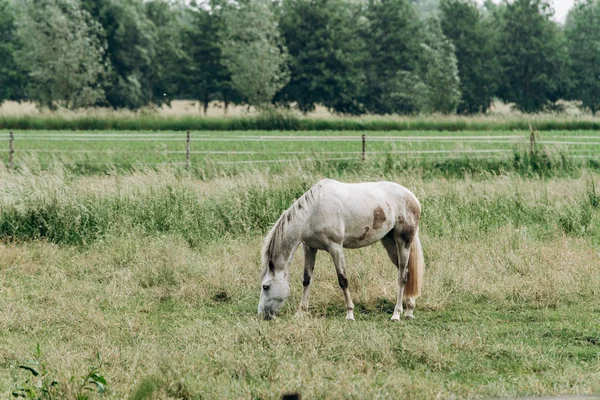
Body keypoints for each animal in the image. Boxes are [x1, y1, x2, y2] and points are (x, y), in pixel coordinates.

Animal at [255, 180, 424, 320]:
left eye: (266, 286)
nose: (262, 314)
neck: (313, 212)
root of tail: (412, 198)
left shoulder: (335, 247)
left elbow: (343, 280)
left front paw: (349, 313)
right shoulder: (309, 248)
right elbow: (306, 279)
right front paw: (301, 312)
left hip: (403, 242)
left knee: (402, 276)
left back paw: (396, 314)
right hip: (389, 244)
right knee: (407, 272)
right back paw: (409, 310)